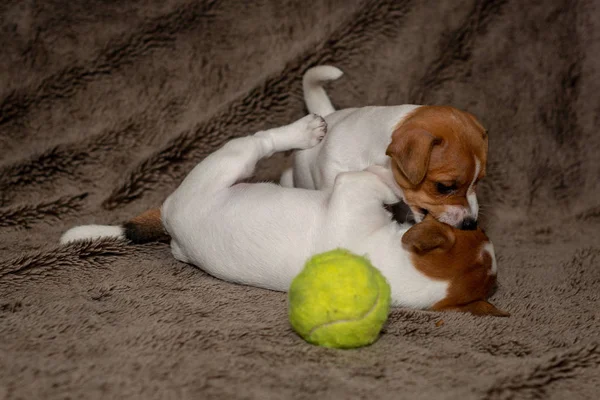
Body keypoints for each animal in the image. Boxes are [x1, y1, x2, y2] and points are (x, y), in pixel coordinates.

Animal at [62, 115, 506, 316]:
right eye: (476, 232)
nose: (473, 222)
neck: (400, 273)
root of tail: (170, 214)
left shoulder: (350, 194)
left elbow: (371, 179)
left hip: (227, 164)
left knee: (260, 141)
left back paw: (304, 131)